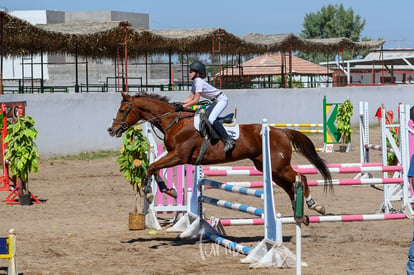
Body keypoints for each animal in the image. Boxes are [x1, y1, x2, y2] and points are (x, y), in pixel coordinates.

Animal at [107, 91, 334, 221]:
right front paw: (168, 190)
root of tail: (280, 131)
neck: (174, 122)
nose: (112, 130)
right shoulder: (175, 156)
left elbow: (152, 167)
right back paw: (299, 210)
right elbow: (153, 167)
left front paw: (149, 192)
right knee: (290, 185)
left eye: (123, 109)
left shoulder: (179, 156)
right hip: (268, 167)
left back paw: (316, 206)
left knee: (300, 178)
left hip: (279, 166)